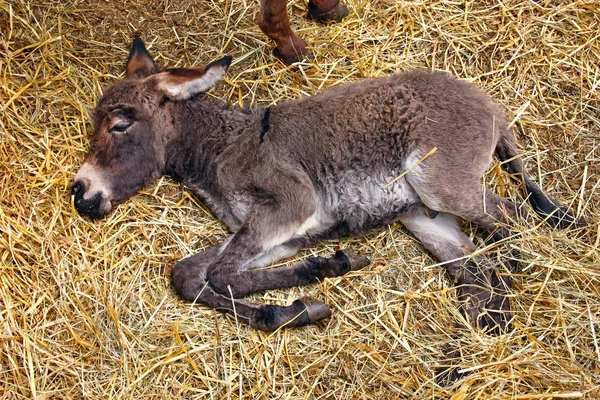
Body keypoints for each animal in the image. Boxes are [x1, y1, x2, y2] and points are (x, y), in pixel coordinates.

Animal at [72, 38, 580, 332]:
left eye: (119, 125)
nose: (79, 192)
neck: (223, 145)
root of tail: (489, 104)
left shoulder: (291, 205)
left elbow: (220, 275)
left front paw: (322, 274)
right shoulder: (272, 233)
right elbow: (192, 275)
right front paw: (296, 305)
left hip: (440, 184)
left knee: (512, 218)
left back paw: (511, 287)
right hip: (423, 215)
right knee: (472, 265)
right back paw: (488, 321)